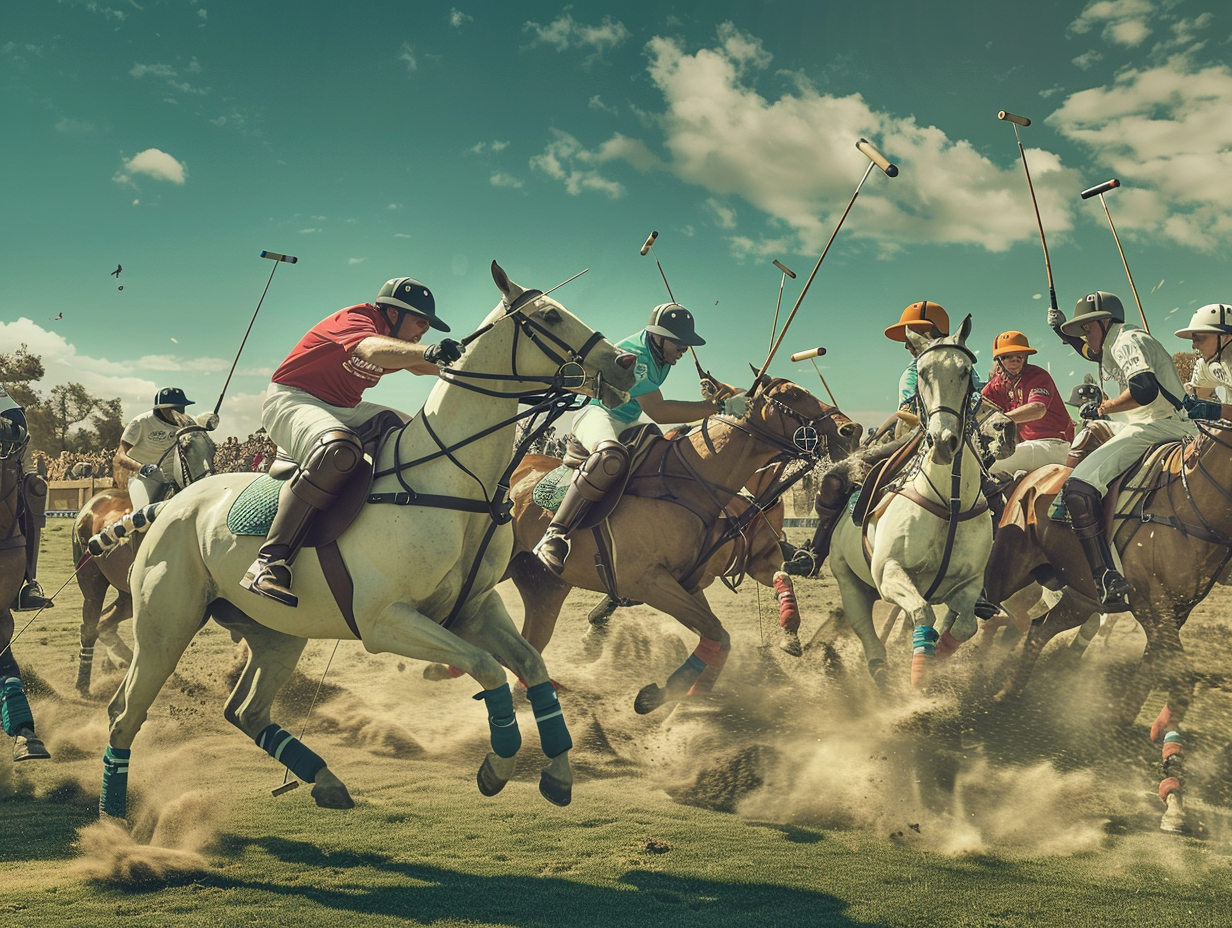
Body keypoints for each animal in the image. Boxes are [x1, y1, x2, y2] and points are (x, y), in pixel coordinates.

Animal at [70, 419, 215, 695]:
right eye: (186, 447)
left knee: (104, 625)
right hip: (91, 580)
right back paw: (83, 683)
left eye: (213, 448)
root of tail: (92, 502)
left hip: (125, 595)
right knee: (90, 627)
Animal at [98, 261, 635, 818]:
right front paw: (498, 763)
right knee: (125, 713)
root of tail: (174, 503)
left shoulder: (475, 609)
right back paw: (114, 812)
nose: (626, 363)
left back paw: (325, 779)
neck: (458, 483)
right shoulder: (385, 620)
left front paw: (557, 772)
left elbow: (531, 664)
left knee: (244, 711)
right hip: (165, 628)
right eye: (549, 315)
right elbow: (488, 669)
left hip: (278, 633)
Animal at [500, 377, 857, 709]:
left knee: (531, 645)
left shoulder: (698, 579)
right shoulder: (647, 581)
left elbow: (725, 630)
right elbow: (714, 631)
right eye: (793, 394)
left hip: (545, 586)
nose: (850, 429)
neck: (692, 483)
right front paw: (664, 695)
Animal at [827, 317, 990, 690]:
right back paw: (880, 674)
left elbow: (965, 624)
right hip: (850, 581)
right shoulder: (889, 572)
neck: (950, 502)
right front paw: (920, 674)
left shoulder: (970, 582)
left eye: (965, 371)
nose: (943, 442)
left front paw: (937, 660)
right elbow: (923, 612)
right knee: (868, 632)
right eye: (924, 371)